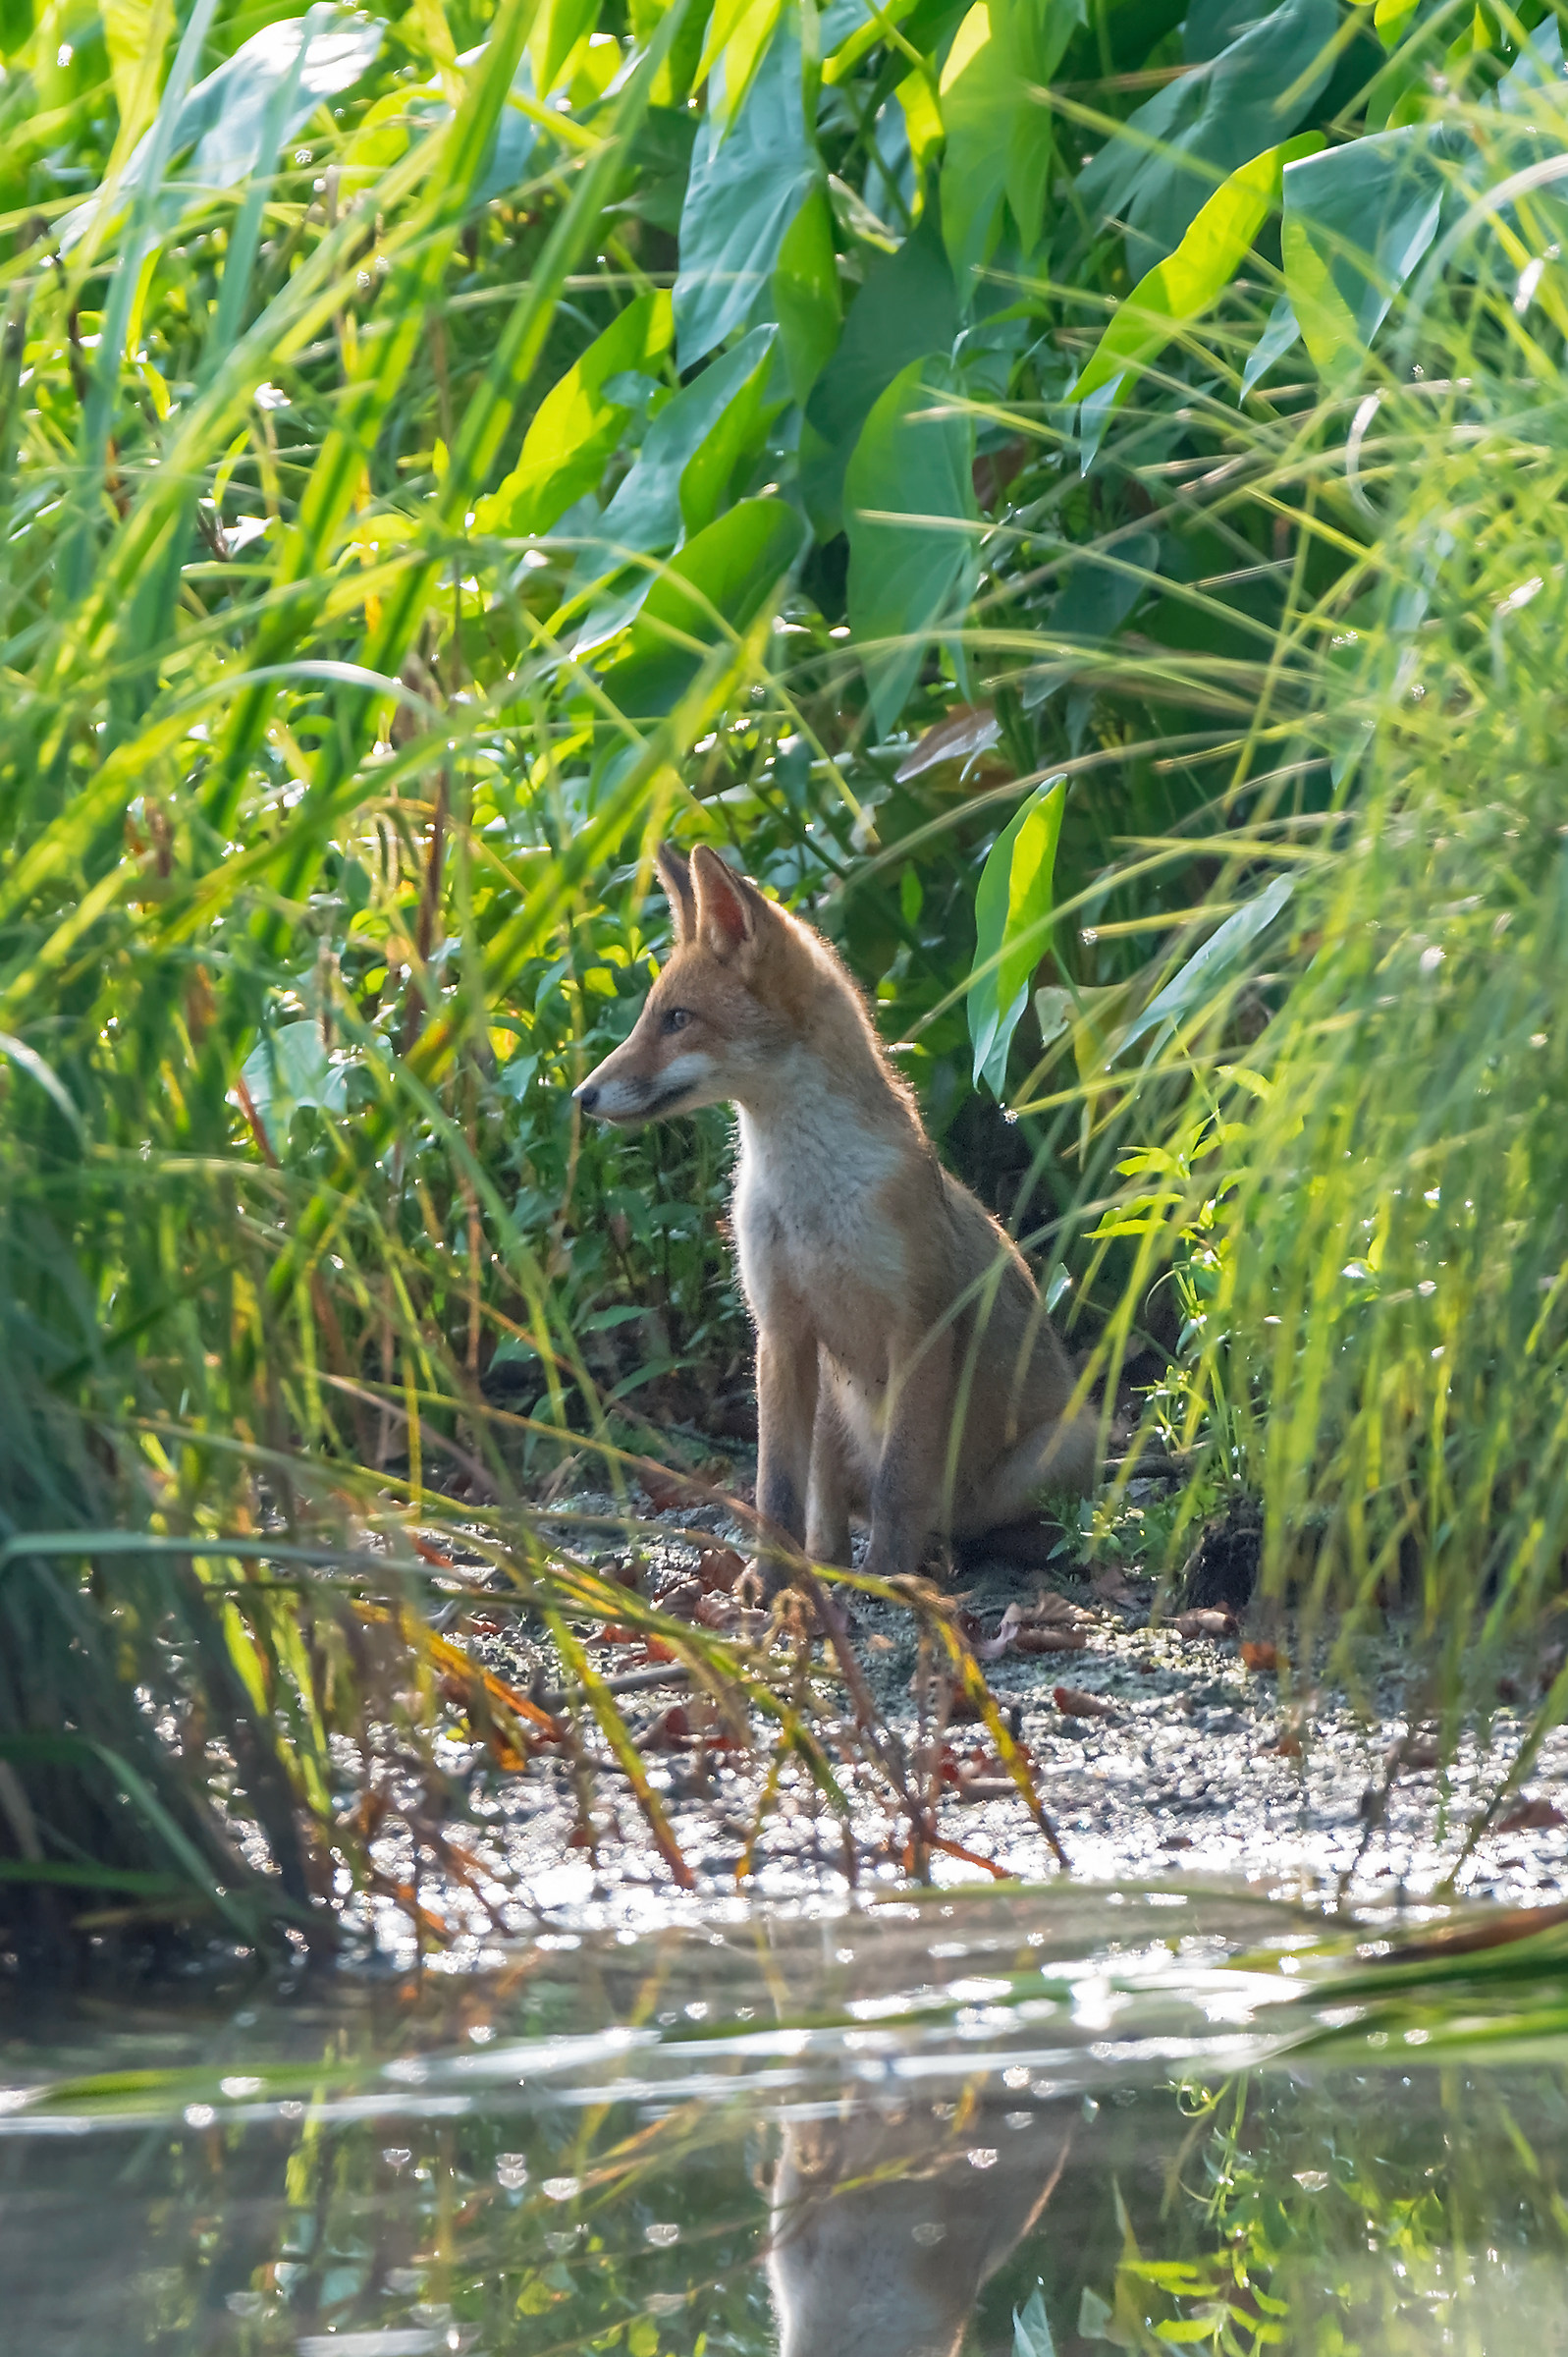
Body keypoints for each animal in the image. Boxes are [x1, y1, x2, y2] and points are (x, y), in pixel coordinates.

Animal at [574, 843, 1097, 1583]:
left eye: (676, 1019)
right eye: (651, 1015)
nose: (581, 1096)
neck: (810, 1203)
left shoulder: (919, 1324)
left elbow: (899, 1482)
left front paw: (891, 1579)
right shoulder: (780, 1330)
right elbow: (775, 1488)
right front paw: (772, 1583)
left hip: (1063, 1444)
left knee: (1010, 1526)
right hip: (831, 1410)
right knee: (831, 1505)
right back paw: (833, 1563)